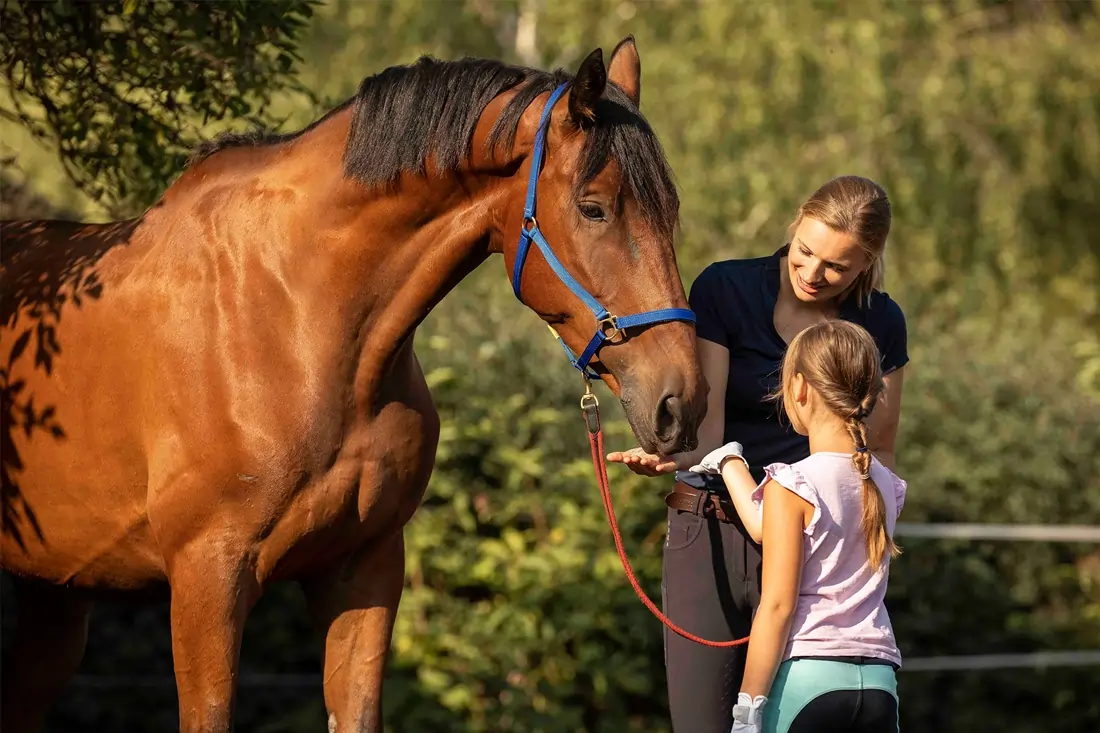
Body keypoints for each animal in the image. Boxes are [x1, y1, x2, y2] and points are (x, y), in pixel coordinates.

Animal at [0, 37, 705, 732]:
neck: (295, 319)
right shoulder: (207, 580)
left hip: (55, 597)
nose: (683, 402)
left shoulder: (365, 568)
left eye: (671, 211)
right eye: (593, 208)